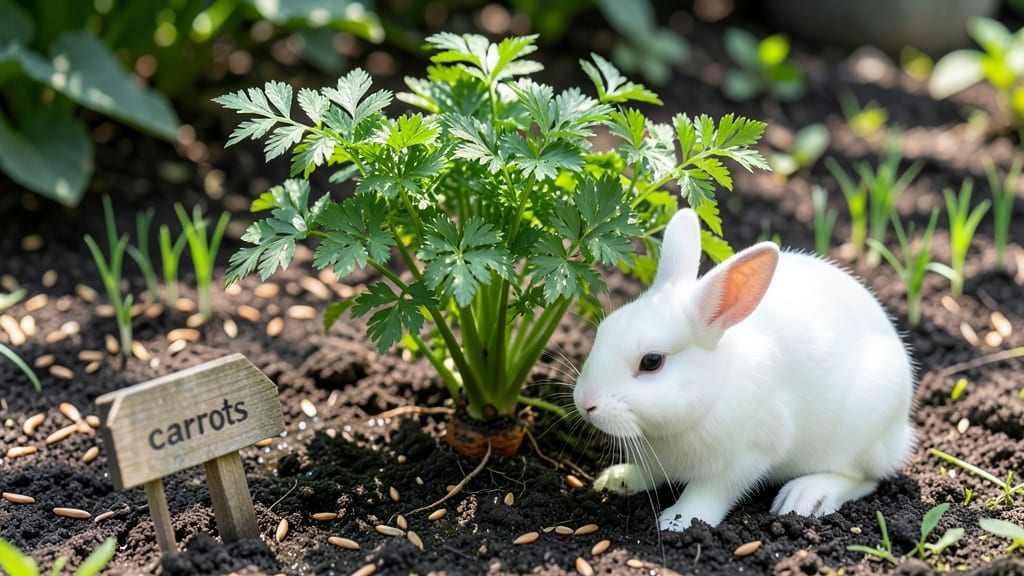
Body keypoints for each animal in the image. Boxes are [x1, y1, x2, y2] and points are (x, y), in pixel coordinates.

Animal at [573, 208, 915, 531]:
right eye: (603, 329)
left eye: (652, 361)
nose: (585, 402)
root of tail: (901, 434)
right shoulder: (657, 461)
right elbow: (650, 473)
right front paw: (616, 480)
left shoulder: (748, 455)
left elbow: (710, 491)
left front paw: (680, 522)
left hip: (861, 431)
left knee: (863, 477)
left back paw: (805, 496)